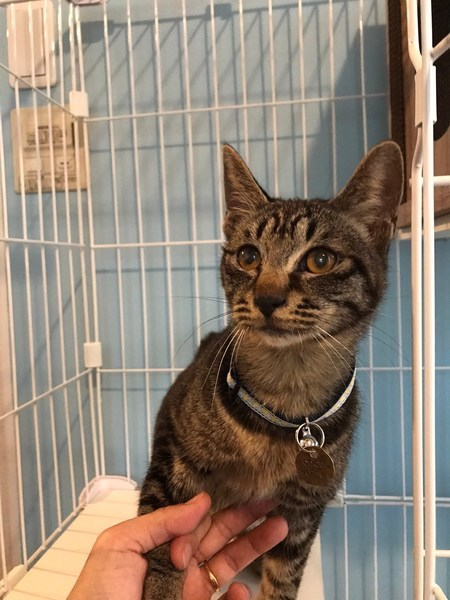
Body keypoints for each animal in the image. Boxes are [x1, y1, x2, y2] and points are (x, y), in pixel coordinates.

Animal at [138, 141, 404, 600]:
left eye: (320, 260)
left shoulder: (303, 510)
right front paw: (160, 587)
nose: (266, 297)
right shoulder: (172, 453)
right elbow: (162, 539)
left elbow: (285, 576)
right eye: (248, 256)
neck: (287, 391)